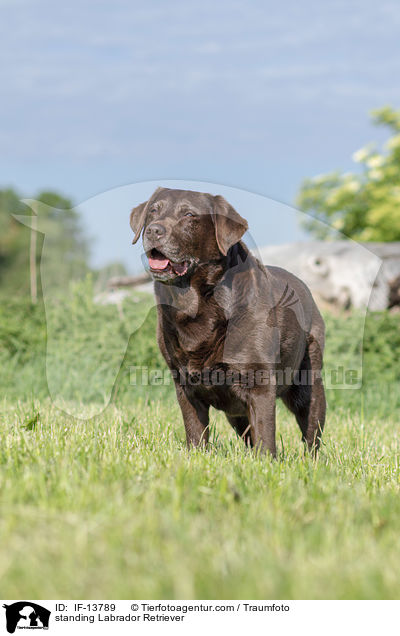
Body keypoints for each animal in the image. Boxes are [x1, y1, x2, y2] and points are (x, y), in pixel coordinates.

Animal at [130, 185, 326, 458]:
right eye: (153, 212)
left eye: (189, 215)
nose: (153, 230)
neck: (197, 304)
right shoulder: (184, 386)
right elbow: (196, 433)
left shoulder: (259, 383)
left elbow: (266, 436)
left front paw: (266, 464)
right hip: (236, 412)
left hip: (308, 386)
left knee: (311, 436)